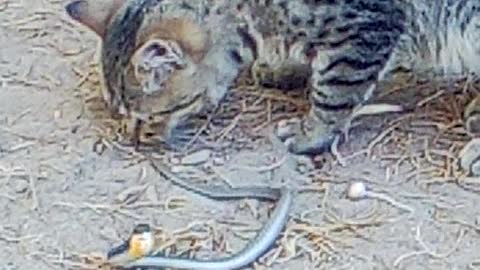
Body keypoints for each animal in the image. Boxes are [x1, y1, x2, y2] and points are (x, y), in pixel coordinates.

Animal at [65, 0, 480, 155]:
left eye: (148, 117)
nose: (135, 141)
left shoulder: (365, 26)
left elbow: (334, 90)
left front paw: (311, 132)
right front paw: (283, 68)